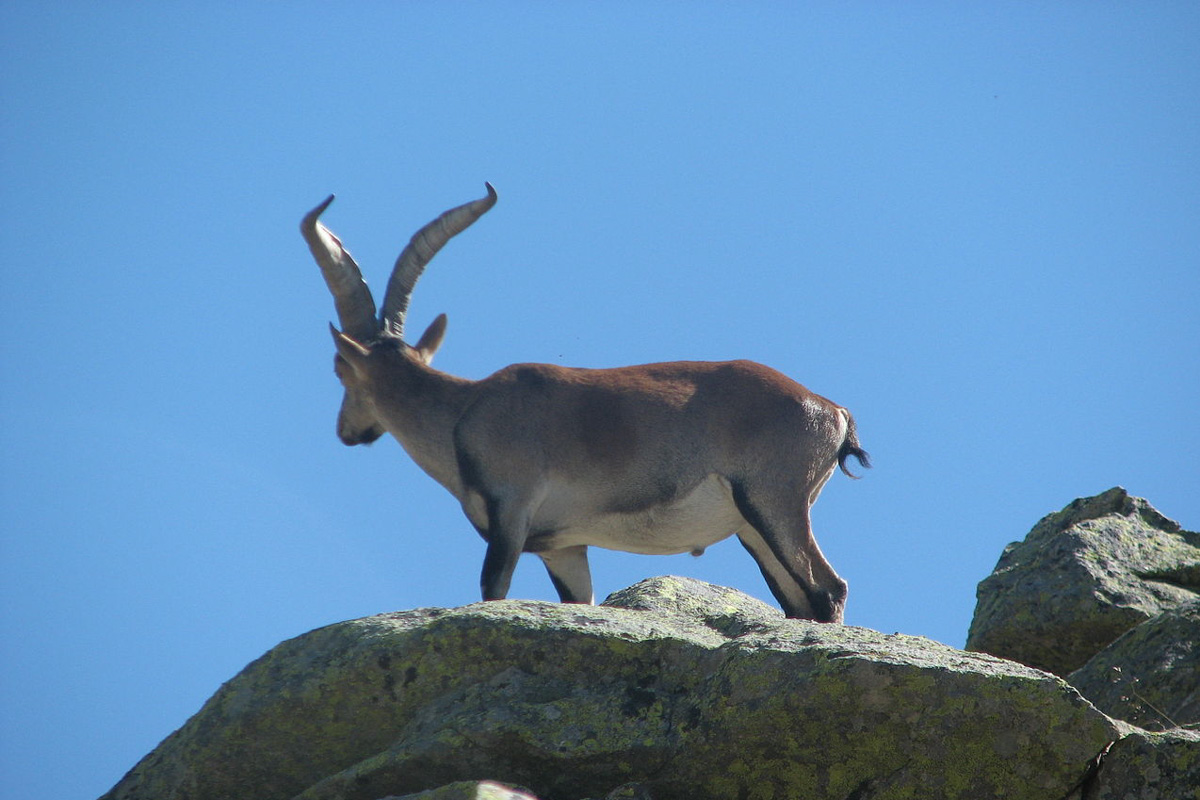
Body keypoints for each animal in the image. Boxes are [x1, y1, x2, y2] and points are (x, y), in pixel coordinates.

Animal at [298, 184, 864, 623]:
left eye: (339, 367)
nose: (348, 431)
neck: (463, 411)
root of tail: (831, 410)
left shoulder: (512, 512)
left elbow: (493, 591)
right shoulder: (564, 547)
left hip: (774, 501)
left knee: (828, 589)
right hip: (755, 528)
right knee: (802, 601)